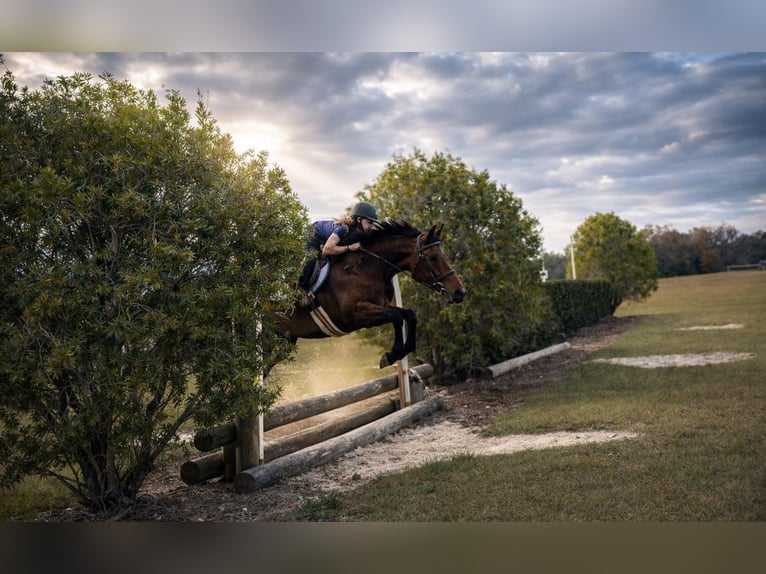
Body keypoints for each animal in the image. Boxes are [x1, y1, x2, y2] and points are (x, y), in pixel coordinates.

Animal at [274, 219, 467, 369]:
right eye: (433, 258)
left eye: (445, 256)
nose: (460, 292)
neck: (366, 267)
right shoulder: (355, 315)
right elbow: (396, 317)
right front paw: (391, 355)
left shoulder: (380, 305)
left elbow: (409, 315)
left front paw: (399, 352)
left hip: (286, 339)